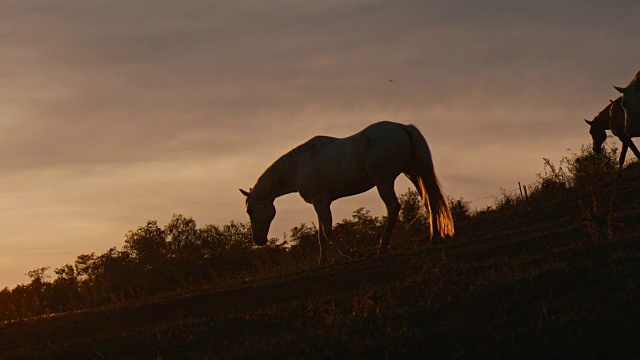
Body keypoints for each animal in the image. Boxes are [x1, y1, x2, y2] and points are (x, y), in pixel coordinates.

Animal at [240, 121, 456, 264]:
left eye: (250, 211)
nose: (258, 240)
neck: (298, 166)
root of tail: (402, 127)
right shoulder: (319, 203)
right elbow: (321, 234)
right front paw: (322, 261)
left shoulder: (321, 202)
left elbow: (327, 231)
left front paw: (350, 252)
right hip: (413, 173)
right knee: (430, 202)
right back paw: (434, 237)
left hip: (384, 181)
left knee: (394, 207)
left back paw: (382, 246)